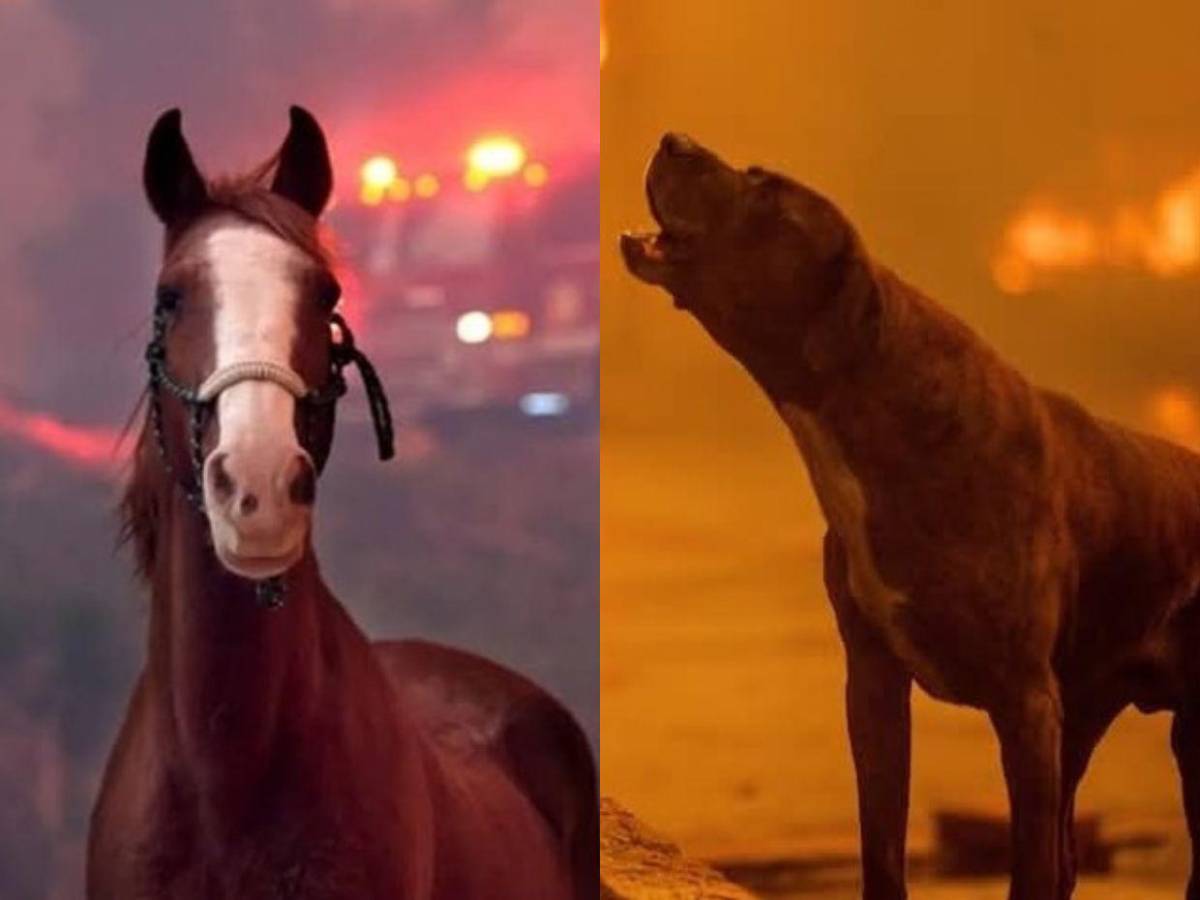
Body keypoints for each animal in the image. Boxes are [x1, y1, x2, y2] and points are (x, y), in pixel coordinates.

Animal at [622, 133, 1200, 899]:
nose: (673, 141)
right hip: (1085, 719)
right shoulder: (875, 685)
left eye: (767, 190)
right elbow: (884, 846)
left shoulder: (1026, 707)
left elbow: (1027, 865)